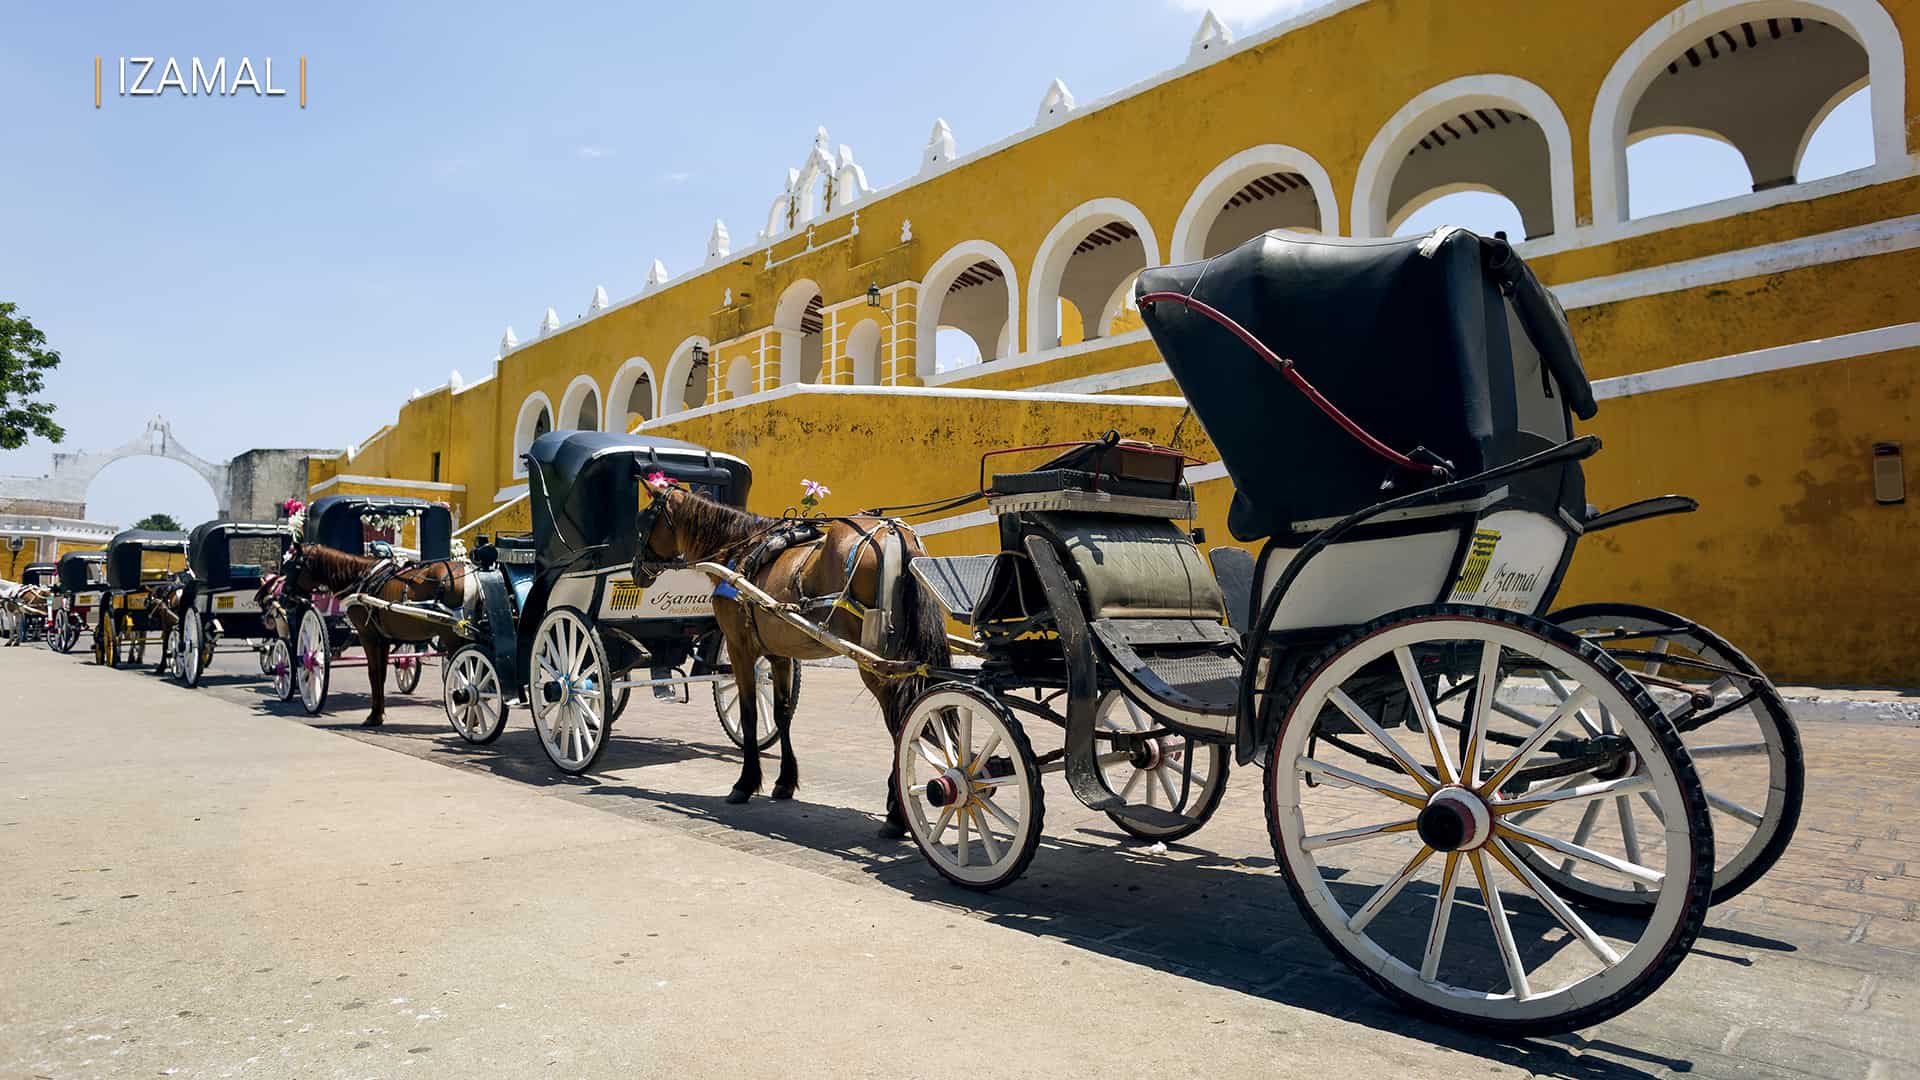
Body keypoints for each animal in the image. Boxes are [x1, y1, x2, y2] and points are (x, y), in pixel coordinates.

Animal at [278, 545, 480, 722]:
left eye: (293, 567)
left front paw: (374, 716)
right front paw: (379, 712)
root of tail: (471, 575)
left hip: (453, 638)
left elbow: (373, 673)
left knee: (467, 672)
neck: (363, 578)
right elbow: (381, 674)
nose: (283, 598)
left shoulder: (368, 636)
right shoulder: (383, 639)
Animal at [641, 480, 948, 834]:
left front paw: (745, 783)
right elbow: (782, 714)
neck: (738, 552)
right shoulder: (778, 654)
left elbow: (749, 715)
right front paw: (785, 782)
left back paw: (897, 812)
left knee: (901, 725)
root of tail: (895, 532)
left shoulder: (739, 648)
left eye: (643, 521)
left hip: (877, 663)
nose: (636, 570)